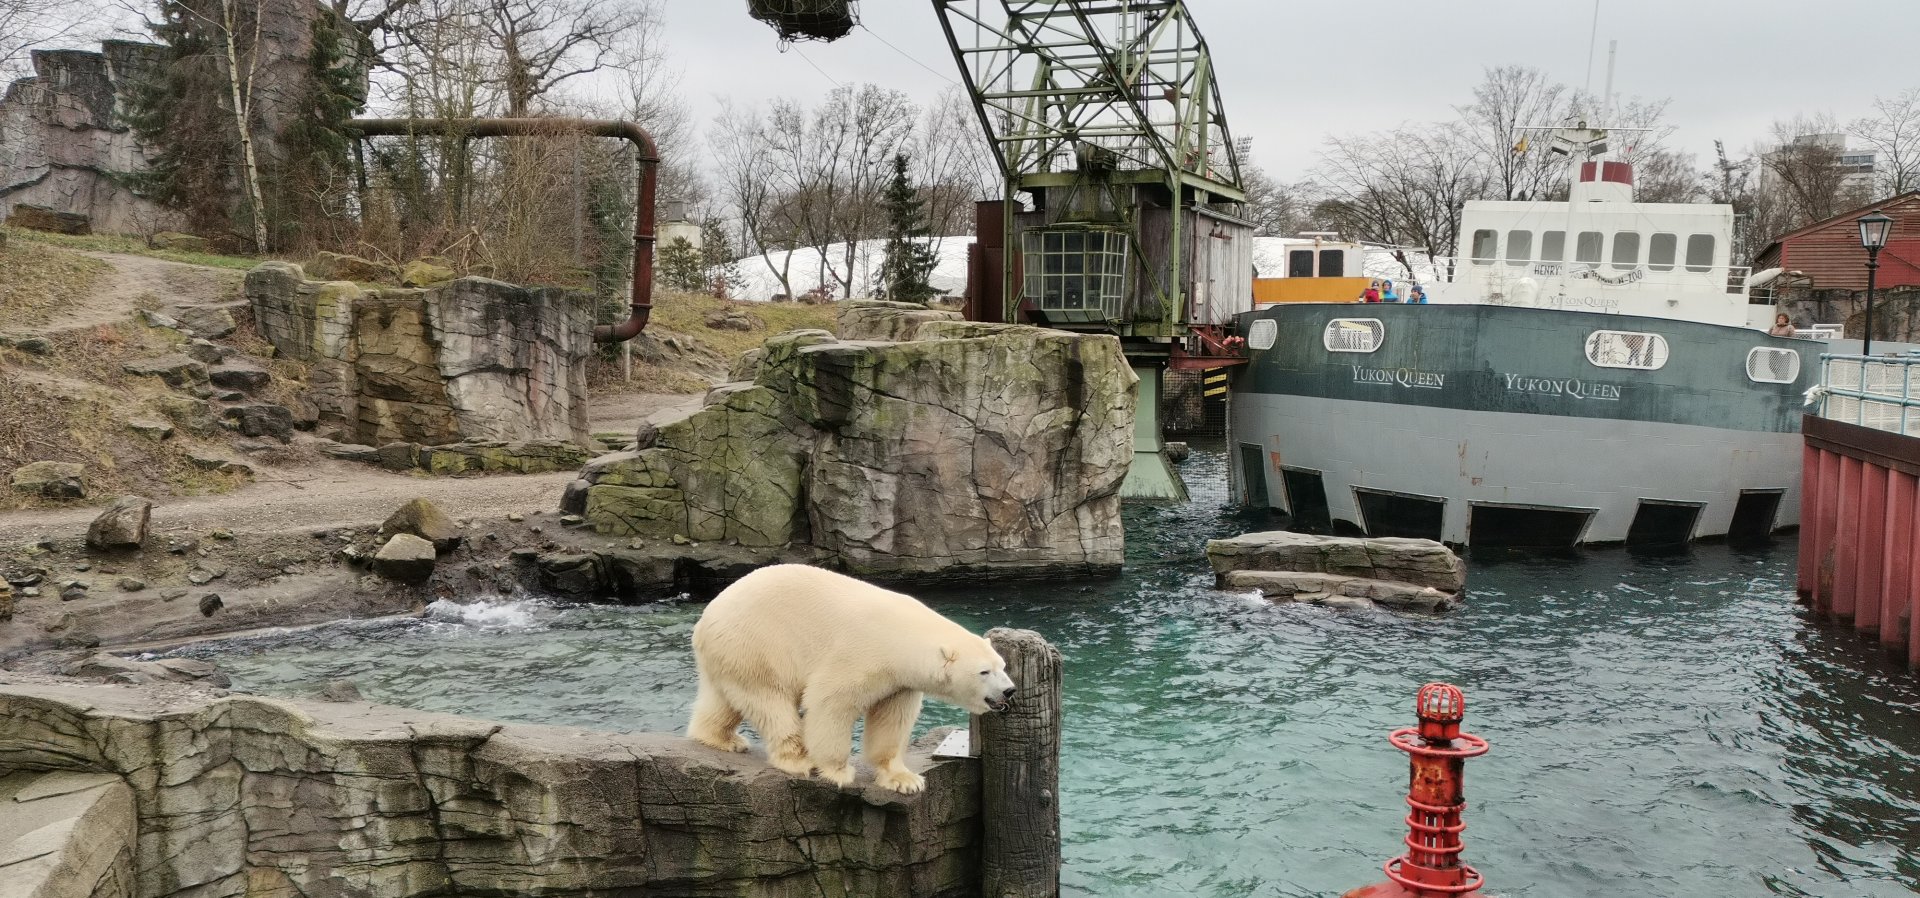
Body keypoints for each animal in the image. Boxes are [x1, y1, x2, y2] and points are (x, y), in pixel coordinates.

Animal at [687, 564, 1017, 794]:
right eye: (984, 672)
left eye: (1002, 665)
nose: (1009, 691)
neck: (901, 635)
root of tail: (705, 618)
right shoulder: (861, 652)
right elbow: (830, 701)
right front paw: (837, 772)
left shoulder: (900, 682)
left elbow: (891, 719)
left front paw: (905, 780)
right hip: (757, 644)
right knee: (770, 701)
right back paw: (797, 759)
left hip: (731, 654)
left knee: (724, 698)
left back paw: (721, 739)